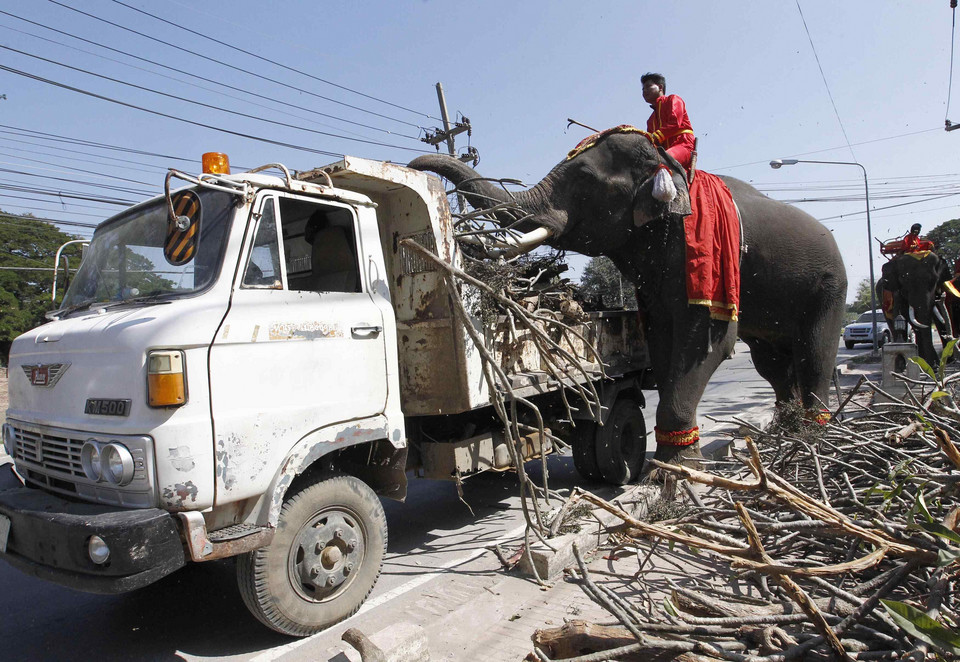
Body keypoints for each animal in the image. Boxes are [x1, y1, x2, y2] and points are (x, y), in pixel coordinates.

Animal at [408, 130, 844, 480]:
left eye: (585, 180)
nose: (413, 165)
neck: (669, 166)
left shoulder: (709, 258)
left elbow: (709, 341)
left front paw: (674, 473)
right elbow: (662, 342)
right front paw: (669, 466)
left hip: (830, 286)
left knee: (814, 353)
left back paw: (814, 435)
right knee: (772, 363)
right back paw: (785, 432)